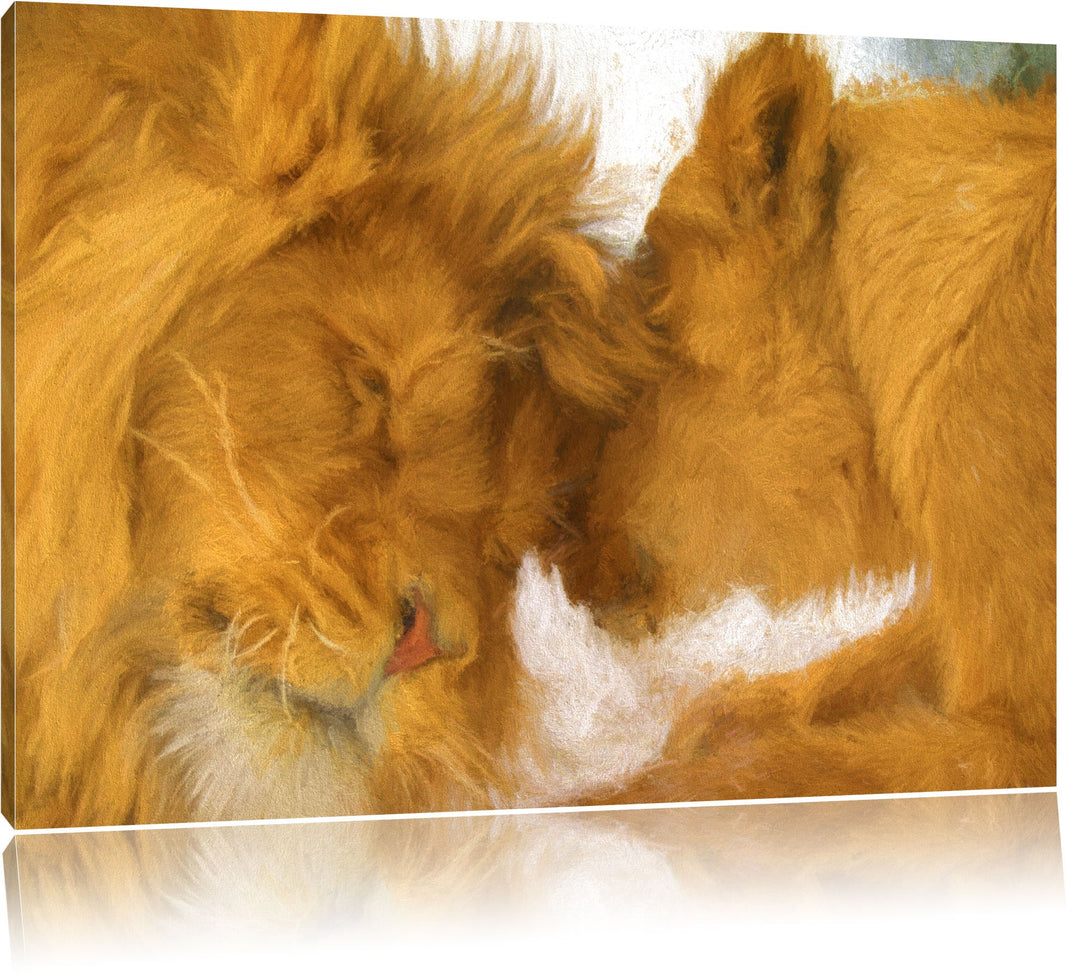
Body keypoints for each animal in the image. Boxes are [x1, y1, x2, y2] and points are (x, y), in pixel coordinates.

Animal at [562, 34, 1055, 799]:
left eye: (647, 348)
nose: (563, 564)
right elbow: (836, 682)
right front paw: (725, 718)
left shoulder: (1022, 740)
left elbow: (754, 776)